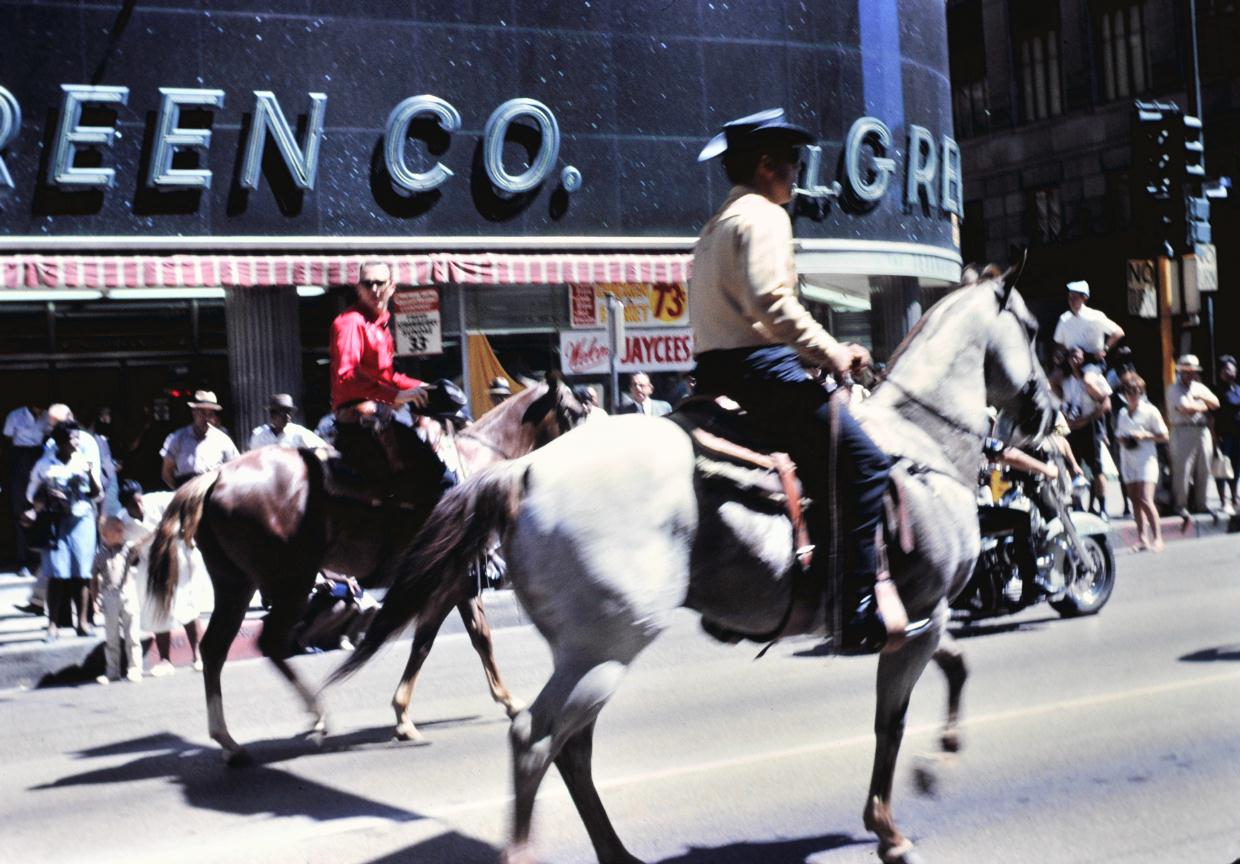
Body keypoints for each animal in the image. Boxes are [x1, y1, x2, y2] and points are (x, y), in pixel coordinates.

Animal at [147, 376, 582, 763]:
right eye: (575, 410)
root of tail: (215, 477)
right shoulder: (457, 577)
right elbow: (461, 640)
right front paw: (501, 704)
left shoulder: (449, 583)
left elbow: (446, 639)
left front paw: (408, 714)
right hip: (290, 581)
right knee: (270, 642)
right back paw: (316, 714)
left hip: (234, 584)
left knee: (214, 648)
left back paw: (230, 742)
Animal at [337, 266, 1056, 857]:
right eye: (1029, 327)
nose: (1047, 411)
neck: (919, 443)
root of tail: (525, 472)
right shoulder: (919, 618)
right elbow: (892, 720)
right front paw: (892, 821)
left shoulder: (917, 617)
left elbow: (955, 670)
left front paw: (941, 760)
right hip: (607, 649)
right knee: (535, 738)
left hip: (585, 653)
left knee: (569, 746)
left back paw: (617, 853)